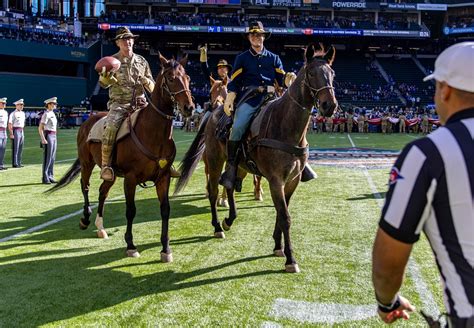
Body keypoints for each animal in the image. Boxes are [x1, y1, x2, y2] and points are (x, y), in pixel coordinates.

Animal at [48, 54, 194, 262]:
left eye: (188, 78)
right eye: (172, 78)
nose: (189, 107)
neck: (153, 133)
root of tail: (88, 120)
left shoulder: (163, 177)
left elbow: (165, 209)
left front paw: (166, 248)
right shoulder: (131, 179)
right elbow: (131, 210)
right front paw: (131, 245)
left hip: (111, 172)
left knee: (102, 190)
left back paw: (100, 227)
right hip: (87, 163)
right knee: (85, 186)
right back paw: (85, 219)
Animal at [175, 44, 336, 272]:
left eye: (332, 73)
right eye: (312, 73)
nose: (329, 106)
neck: (286, 125)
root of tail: (214, 112)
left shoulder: (292, 181)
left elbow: (281, 212)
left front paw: (278, 245)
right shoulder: (276, 180)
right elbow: (285, 217)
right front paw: (290, 259)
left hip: (236, 164)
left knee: (229, 184)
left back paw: (229, 219)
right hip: (215, 160)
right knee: (213, 191)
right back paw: (217, 226)